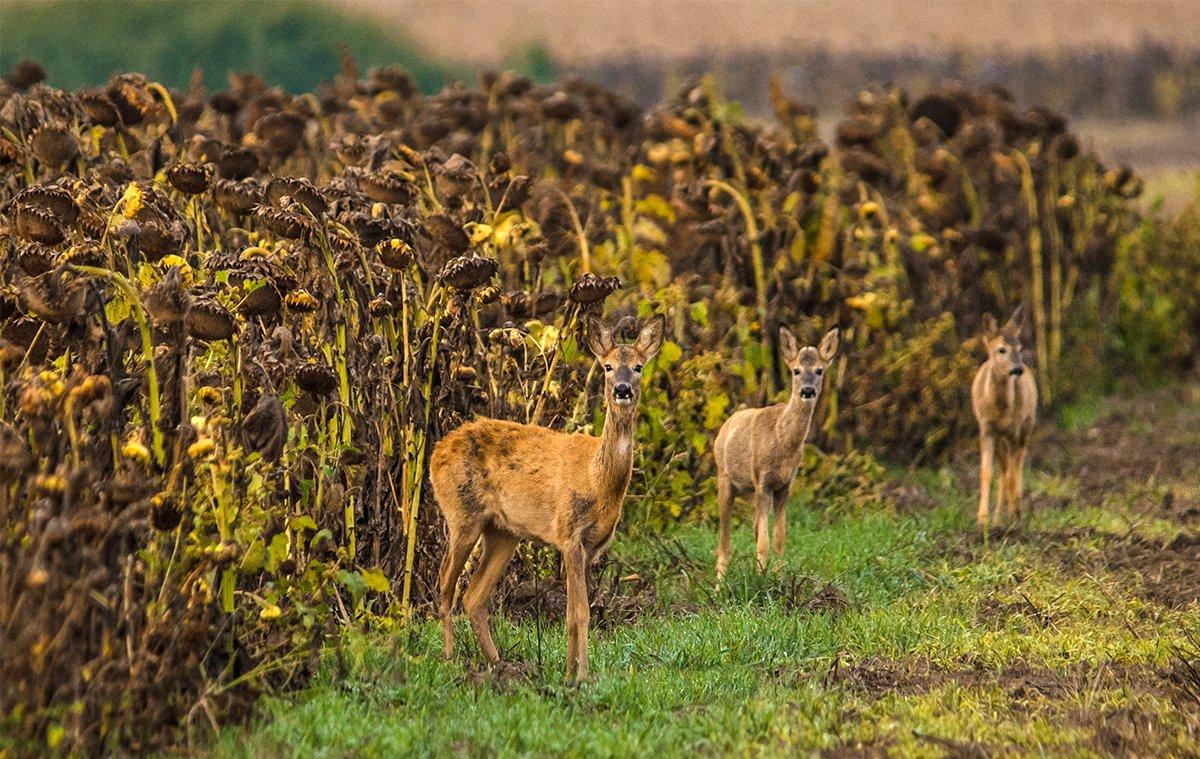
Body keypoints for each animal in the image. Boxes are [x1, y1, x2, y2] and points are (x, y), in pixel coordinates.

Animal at [429, 312, 667, 677]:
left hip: (503, 532)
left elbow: (575, 612)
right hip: (461, 513)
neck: (597, 480)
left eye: (639, 366)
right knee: (445, 586)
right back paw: (451, 660)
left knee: (473, 596)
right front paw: (581, 675)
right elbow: (580, 612)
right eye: (608, 366)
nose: (623, 390)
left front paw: (571, 672)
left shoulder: (592, 546)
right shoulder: (568, 534)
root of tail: (435, 453)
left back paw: (500, 664)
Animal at [715, 324, 840, 581]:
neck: (781, 442)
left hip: (749, 490)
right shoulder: (762, 481)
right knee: (724, 542)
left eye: (819, 370)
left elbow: (779, 536)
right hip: (724, 478)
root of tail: (725, 425)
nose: (807, 391)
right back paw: (719, 584)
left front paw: (777, 578)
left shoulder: (784, 485)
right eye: (796, 370)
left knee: (752, 528)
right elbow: (764, 540)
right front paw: (762, 580)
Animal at [969, 305, 1036, 530]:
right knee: (1004, 470)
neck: (1000, 410)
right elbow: (986, 471)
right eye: (1001, 349)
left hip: (1027, 426)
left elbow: (1013, 474)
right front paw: (983, 519)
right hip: (1000, 438)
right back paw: (999, 518)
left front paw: (1015, 514)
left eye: (1020, 348)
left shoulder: (1014, 431)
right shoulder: (986, 429)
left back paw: (1015, 510)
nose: (1017, 369)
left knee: (1017, 464)